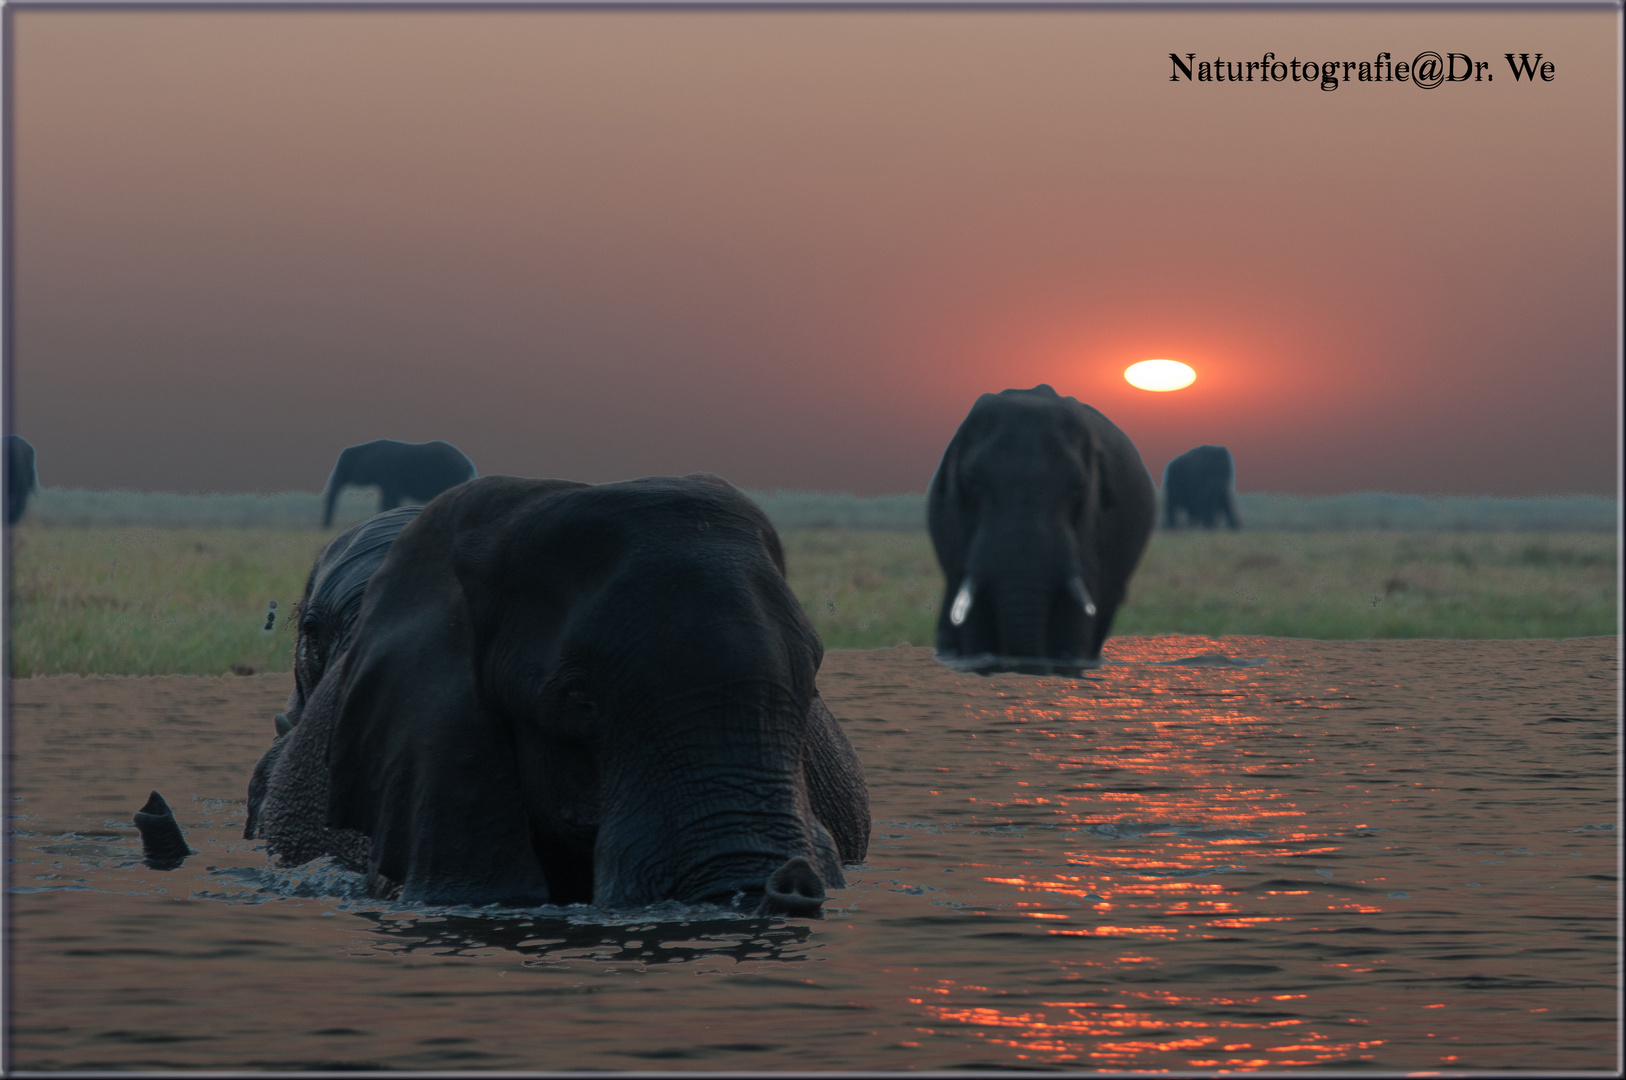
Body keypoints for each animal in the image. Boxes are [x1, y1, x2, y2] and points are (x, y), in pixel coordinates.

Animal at [321, 435, 474, 526]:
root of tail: (468, 462)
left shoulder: (389, 471)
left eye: (343, 467)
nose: (326, 529)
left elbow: (389, 499)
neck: (367, 447)